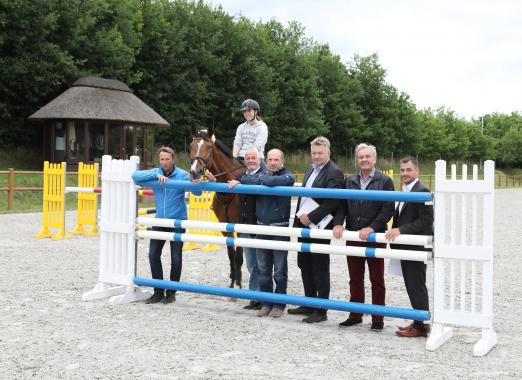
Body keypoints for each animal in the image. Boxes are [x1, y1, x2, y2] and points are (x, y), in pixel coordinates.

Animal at [189, 125, 246, 288]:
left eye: (209, 148)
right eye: (191, 146)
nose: (194, 172)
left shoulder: (240, 226)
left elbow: (239, 256)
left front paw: (239, 283)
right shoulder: (225, 226)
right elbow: (231, 255)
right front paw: (233, 281)